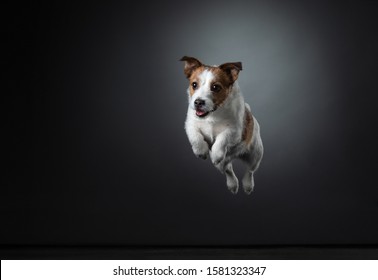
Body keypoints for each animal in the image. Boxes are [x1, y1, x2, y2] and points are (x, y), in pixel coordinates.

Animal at [180, 55, 262, 194]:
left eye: (215, 87)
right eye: (194, 85)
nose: (198, 102)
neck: (213, 114)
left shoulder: (235, 130)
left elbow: (223, 138)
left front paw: (216, 152)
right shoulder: (190, 124)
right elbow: (195, 136)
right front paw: (200, 150)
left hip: (255, 154)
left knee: (250, 170)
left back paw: (247, 185)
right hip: (222, 164)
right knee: (228, 169)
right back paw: (232, 184)